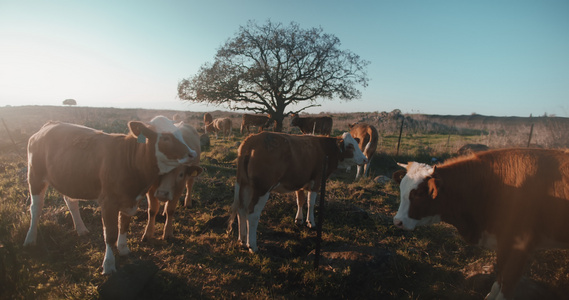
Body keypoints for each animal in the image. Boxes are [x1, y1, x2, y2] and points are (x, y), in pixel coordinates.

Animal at [22, 116, 197, 274]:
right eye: (166, 137)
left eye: (180, 135)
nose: (192, 153)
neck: (131, 161)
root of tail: (49, 124)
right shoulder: (108, 202)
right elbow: (110, 233)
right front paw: (108, 264)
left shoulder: (131, 200)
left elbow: (124, 224)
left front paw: (124, 249)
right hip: (35, 176)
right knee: (36, 208)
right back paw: (30, 239)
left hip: (69, 177)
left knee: (71, 202)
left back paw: (81, 229)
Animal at [227, 132, 368, 252]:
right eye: (350, 146)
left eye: (357, 144)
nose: (365, 159)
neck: (324, 149)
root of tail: (252, 139)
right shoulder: (317, 181)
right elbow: (311, 203)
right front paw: (311, 222)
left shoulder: (300, 182)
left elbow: (300, 201)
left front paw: (299, 219)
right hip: (261, 188)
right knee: (252, 214)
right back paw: (252, 245)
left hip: (245, 186)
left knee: (241, 210)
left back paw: (242, 240)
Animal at [392, 148, 568, 300]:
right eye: (401, 189)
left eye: (419, 193)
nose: (397, 221)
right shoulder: (504, 243)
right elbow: (499, 278)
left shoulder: (521, 246)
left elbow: (506, 284)